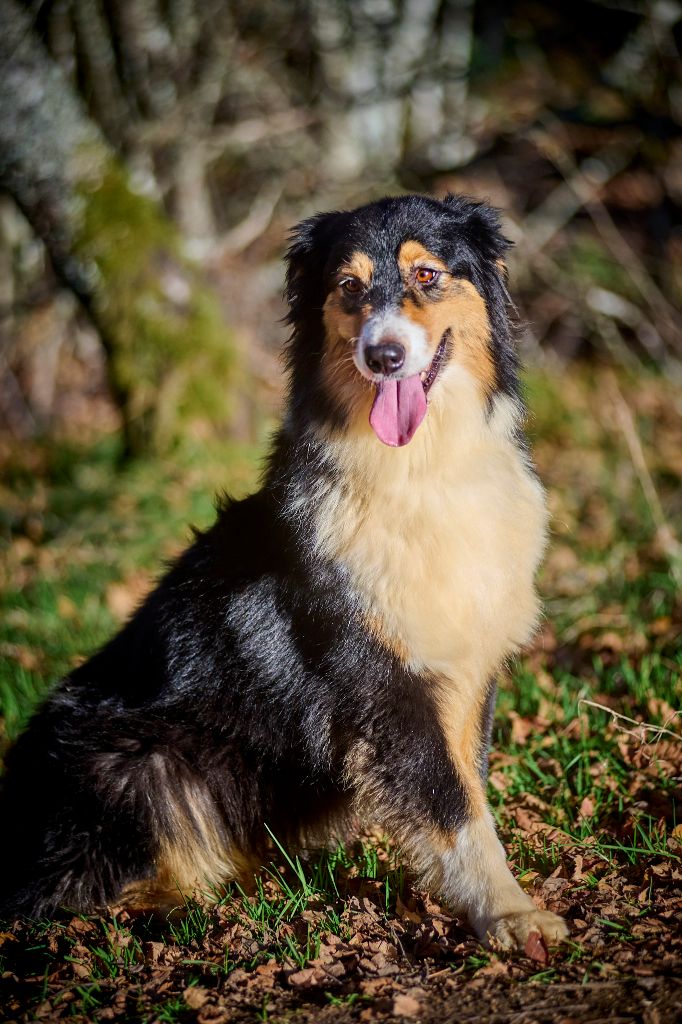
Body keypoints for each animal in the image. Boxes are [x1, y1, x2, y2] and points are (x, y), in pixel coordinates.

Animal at [0, 193, 565, 950]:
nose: (383, 355)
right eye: (349, 287)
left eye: (427, 274)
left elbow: (465, 788)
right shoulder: (380, 676)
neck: (419, 469)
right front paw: (509, 914)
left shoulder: (467, 670)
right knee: (75, 893)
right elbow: (450, 804)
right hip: (131, 760)